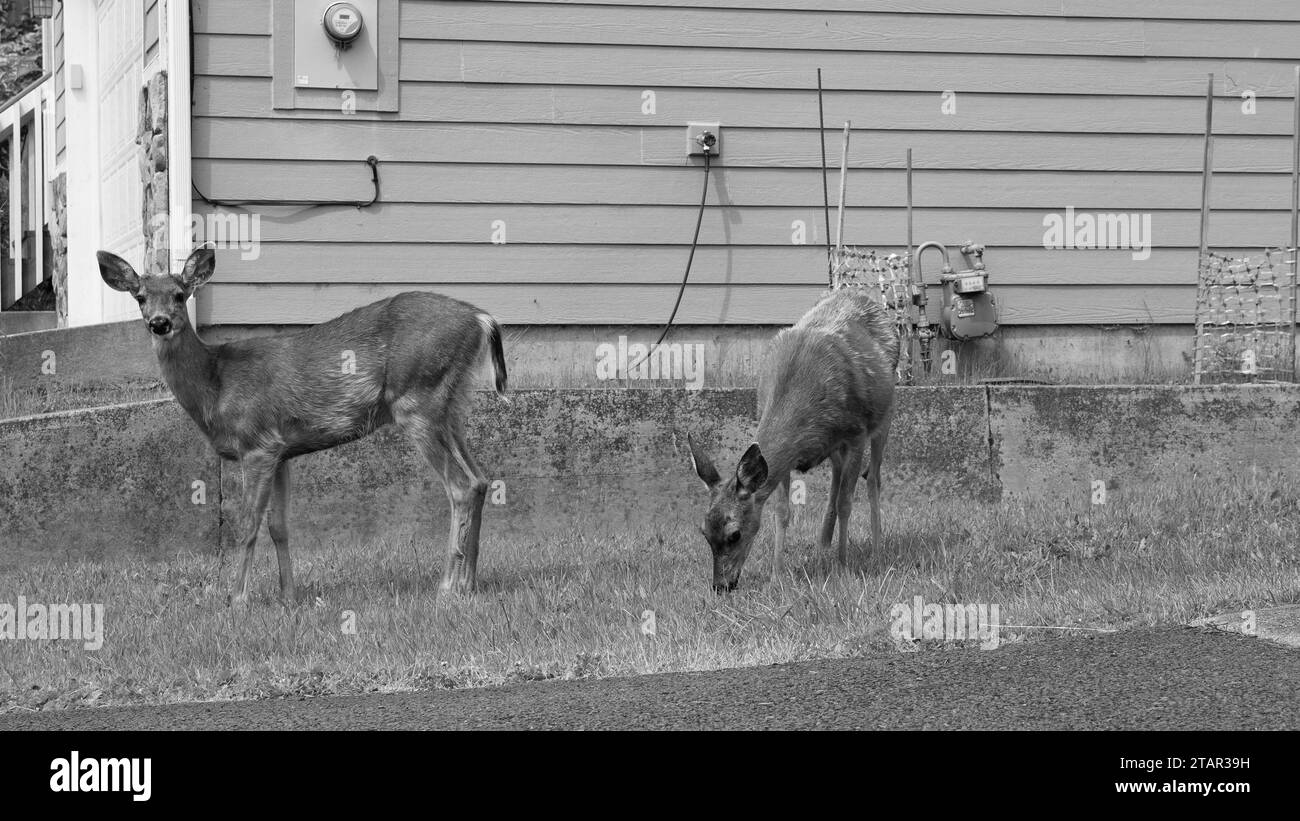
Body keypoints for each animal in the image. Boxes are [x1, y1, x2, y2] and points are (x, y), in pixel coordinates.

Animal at [97, 246, 507, 605]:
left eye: (180, 295)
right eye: (140, 297)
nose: (159, 323)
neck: (216, 384)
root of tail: (481, 319)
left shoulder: (257, 444)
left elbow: (248, 524)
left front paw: (237, 599)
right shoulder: (282, 451)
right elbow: (279, 527)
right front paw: (288, 597)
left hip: (417, 398)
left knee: (461, 486)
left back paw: (446, 588)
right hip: (452, 405)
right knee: (481, 479)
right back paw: (469, 585)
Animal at [687, 287, 899, 592]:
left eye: (734, 534)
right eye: (704, 532)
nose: (721, 585)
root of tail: (860, 295)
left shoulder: (856, 433)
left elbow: (847, 503)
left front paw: (843, 569)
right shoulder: (789, 456)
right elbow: (781, 510)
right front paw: (776, 576)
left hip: (886, 413)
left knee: (873, 479)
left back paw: (876, 552)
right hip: (835, 445)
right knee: (838, 477)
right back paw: (823, 544)